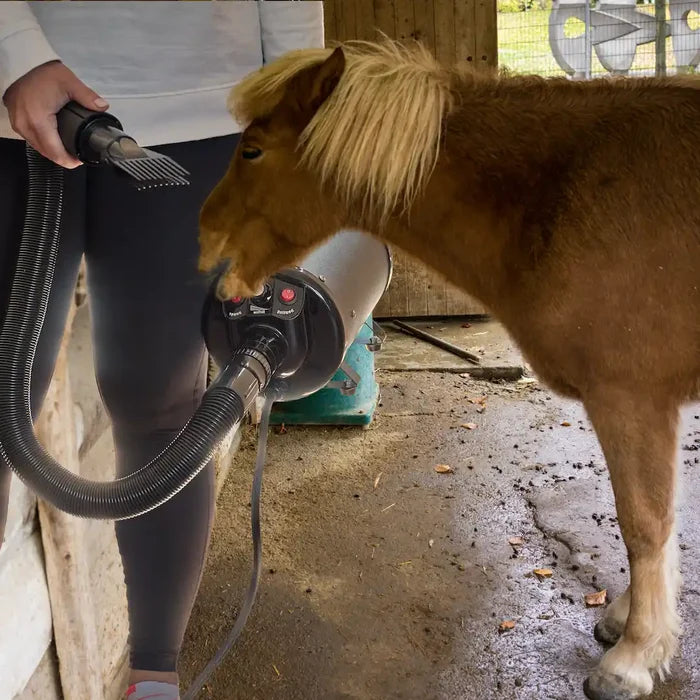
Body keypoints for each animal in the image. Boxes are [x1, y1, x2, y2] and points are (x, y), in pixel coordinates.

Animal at [198, 40, 700, 700]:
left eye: (252, 149)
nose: (203, 235)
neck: (564, 188)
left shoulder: (631, 397)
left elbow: (645, 524)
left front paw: (634, 655)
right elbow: (653, 523)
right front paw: (630, 620)